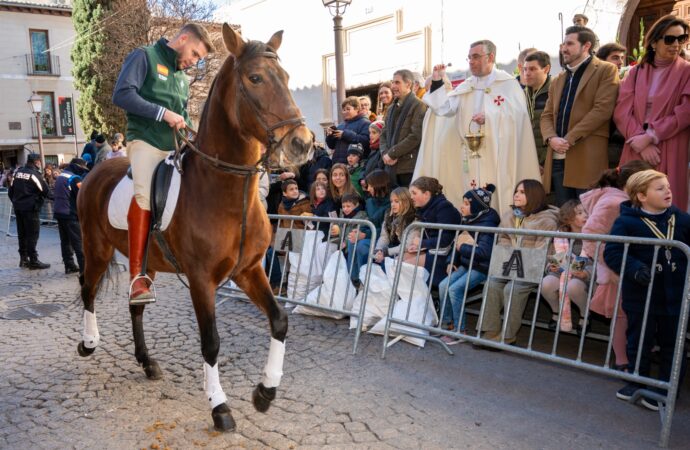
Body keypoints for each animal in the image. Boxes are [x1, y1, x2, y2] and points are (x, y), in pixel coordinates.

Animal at [76, 23, 312, 428]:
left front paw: (265, 391)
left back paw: (146, 362)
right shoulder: (202, 280)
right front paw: (219, 405)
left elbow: (279, 320)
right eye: (255, 78)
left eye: (285, 76)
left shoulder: (249, 270)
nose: (303, 143)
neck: (225, 191)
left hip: (146, 263)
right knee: (88, 290)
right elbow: (211, 341)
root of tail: (92, 173)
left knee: (135, 305)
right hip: (96, 248)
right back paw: (89, 343)